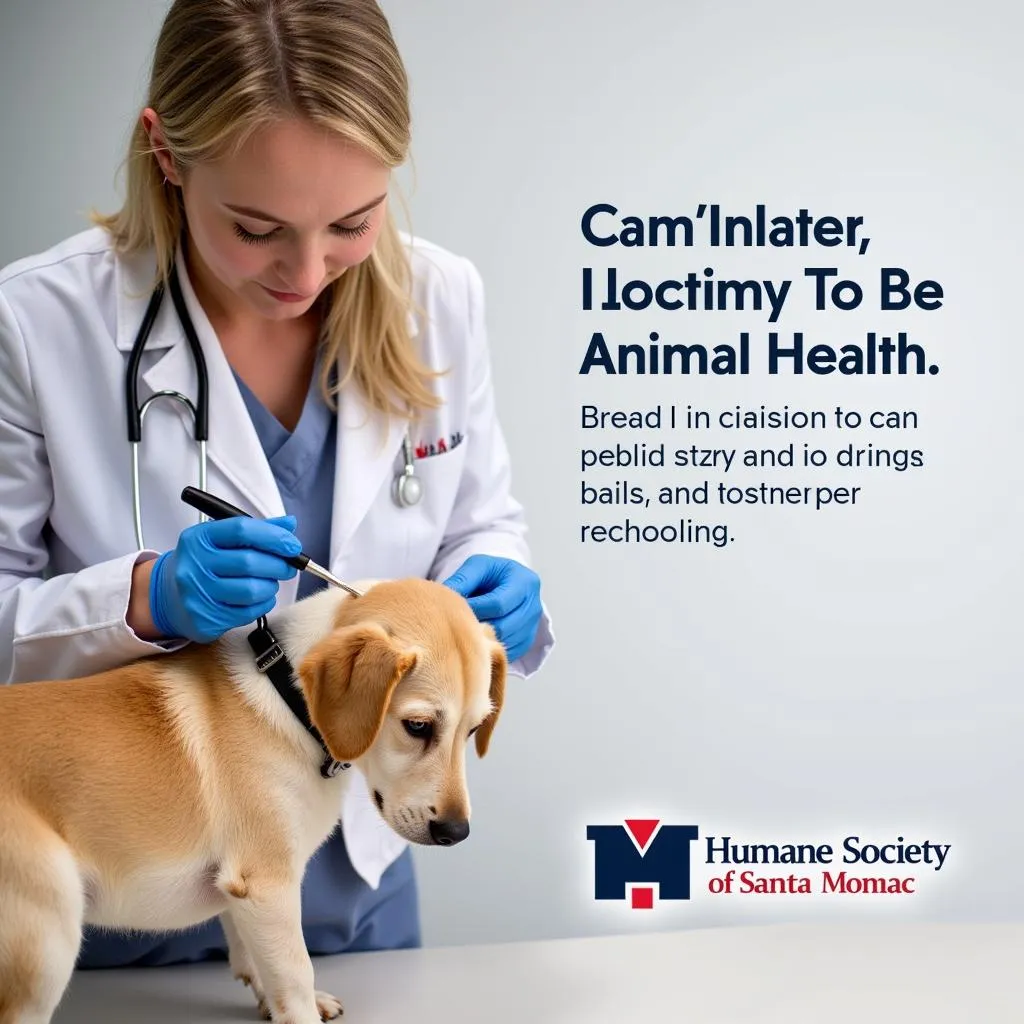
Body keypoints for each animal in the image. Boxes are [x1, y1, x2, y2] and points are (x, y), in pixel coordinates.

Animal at [0, 577, 507, 1024]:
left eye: (474, 730)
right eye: (418, 726)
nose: (455, 832)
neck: (288, 698)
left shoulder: (242, 891)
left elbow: (258, 958)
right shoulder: (268, 884)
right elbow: (295, 971)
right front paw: (302, 1014)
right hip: (48, 935)